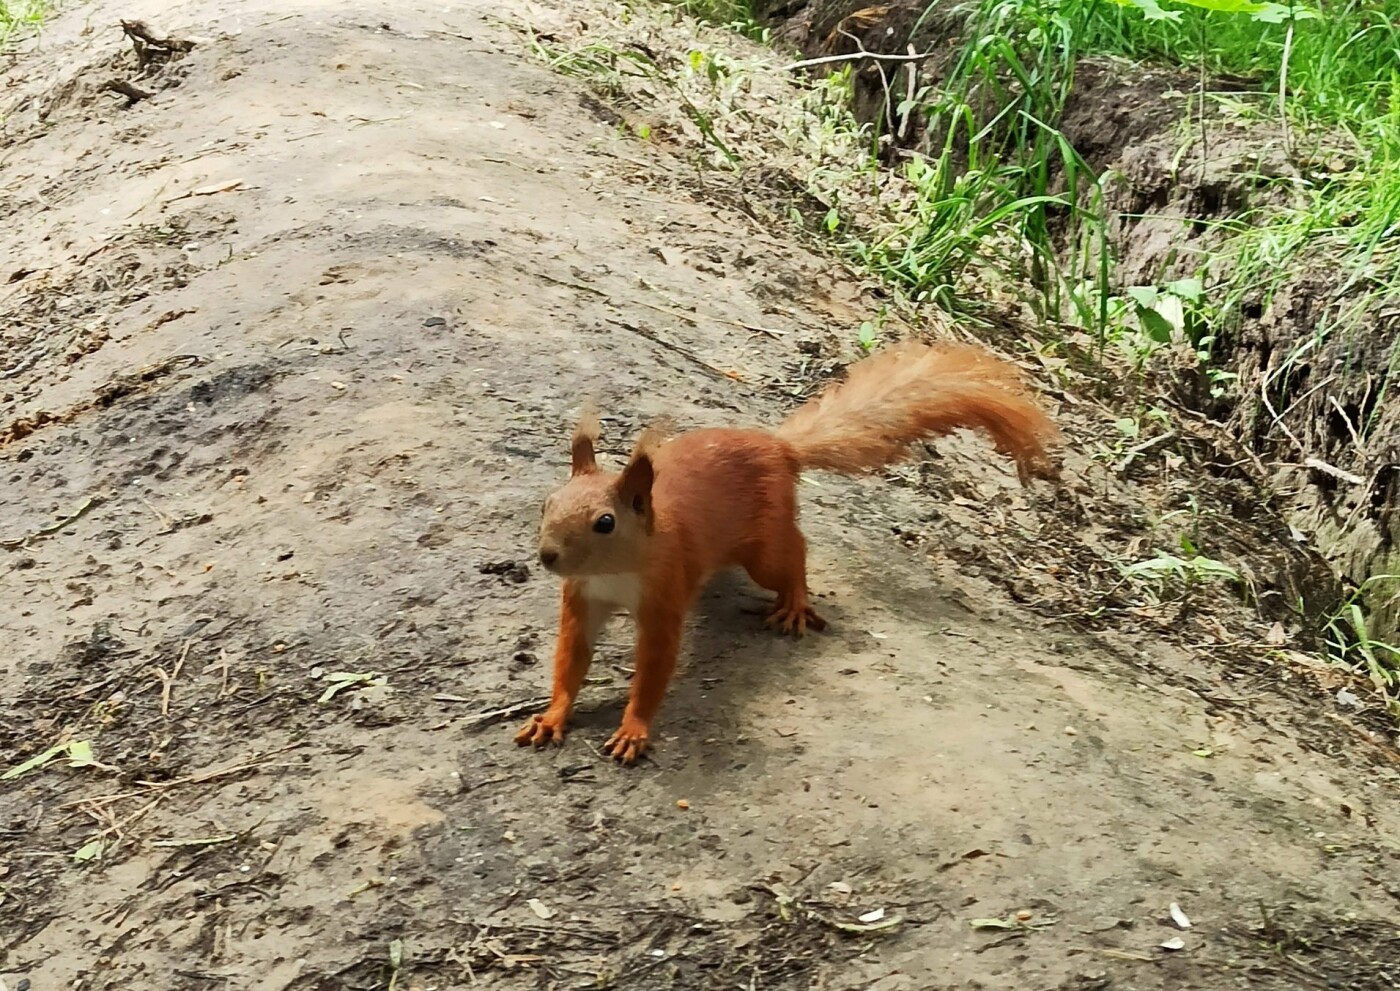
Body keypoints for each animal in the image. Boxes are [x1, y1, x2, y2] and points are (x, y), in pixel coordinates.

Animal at [518, 337, 1058, 761]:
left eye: (605, 523)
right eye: (547, 502)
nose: (547, 556)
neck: (617, 572)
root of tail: (779, 448)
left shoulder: (665, 591)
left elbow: (654, 666)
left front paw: (633, 729)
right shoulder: (581, 598)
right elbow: (571, 658)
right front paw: (552, 716)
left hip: (764, 553)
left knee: (794, 555)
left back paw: (795, 604)